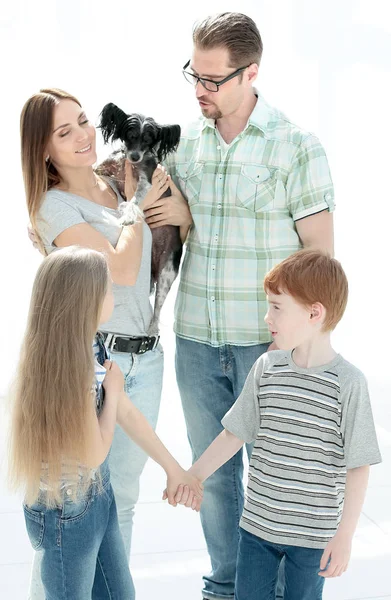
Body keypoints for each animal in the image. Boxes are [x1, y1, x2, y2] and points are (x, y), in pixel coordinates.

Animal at [98, 103, 184, 338]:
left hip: (166, 274)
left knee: (158, 308)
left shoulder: (146, 182)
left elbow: (135, 200)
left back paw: (153, 327)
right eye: (131, 135)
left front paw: (128, 215)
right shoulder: (108, 169)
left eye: (148, 139)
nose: (135, 156)